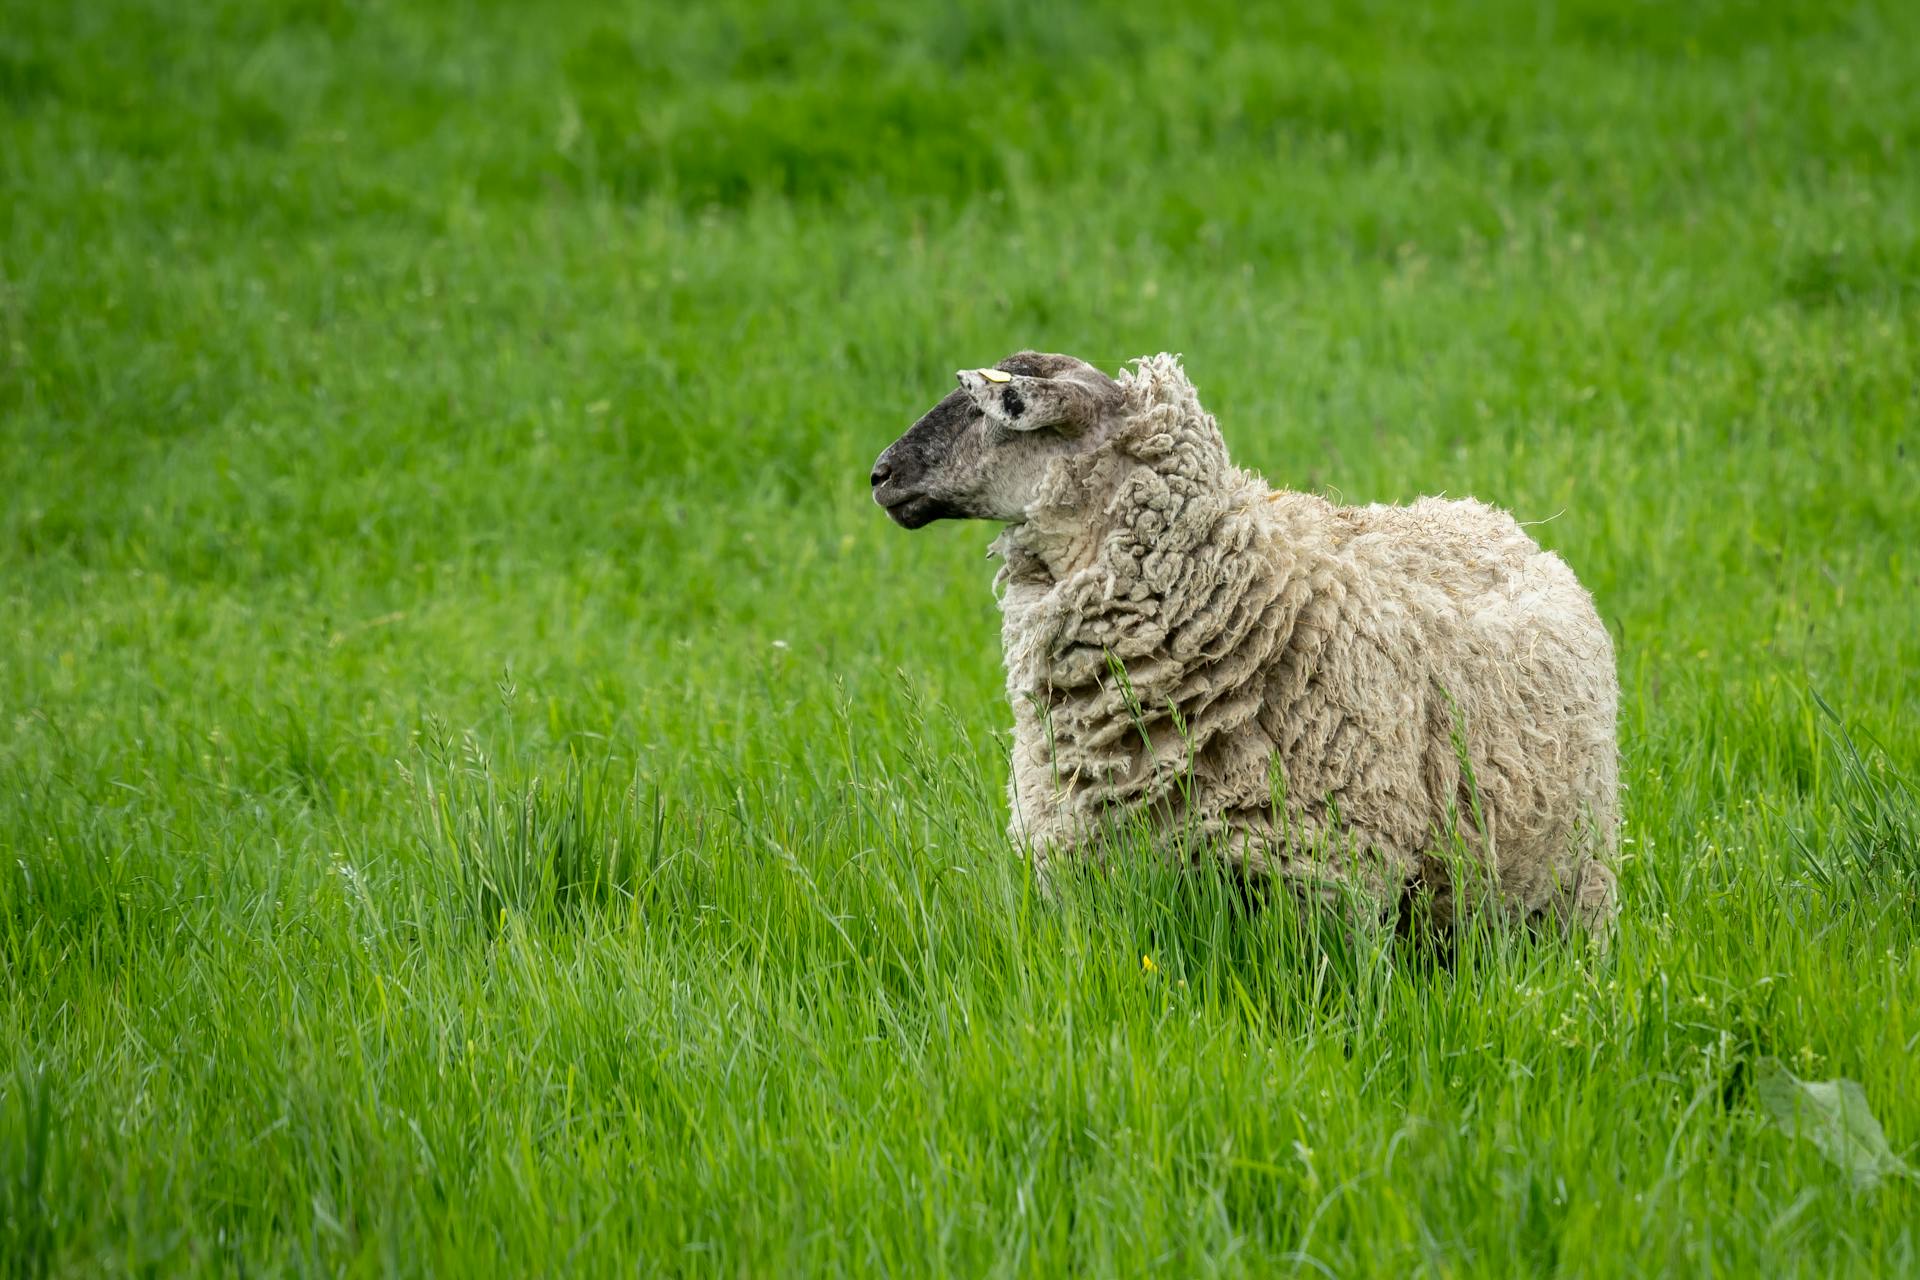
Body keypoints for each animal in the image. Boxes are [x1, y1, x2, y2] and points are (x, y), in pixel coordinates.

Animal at [871, 353, 1620, 940]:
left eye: (993, 411)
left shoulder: (1329, 877)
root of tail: (1497, 520)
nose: (880, 474)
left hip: (1572, 881)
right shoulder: (1089, 873)